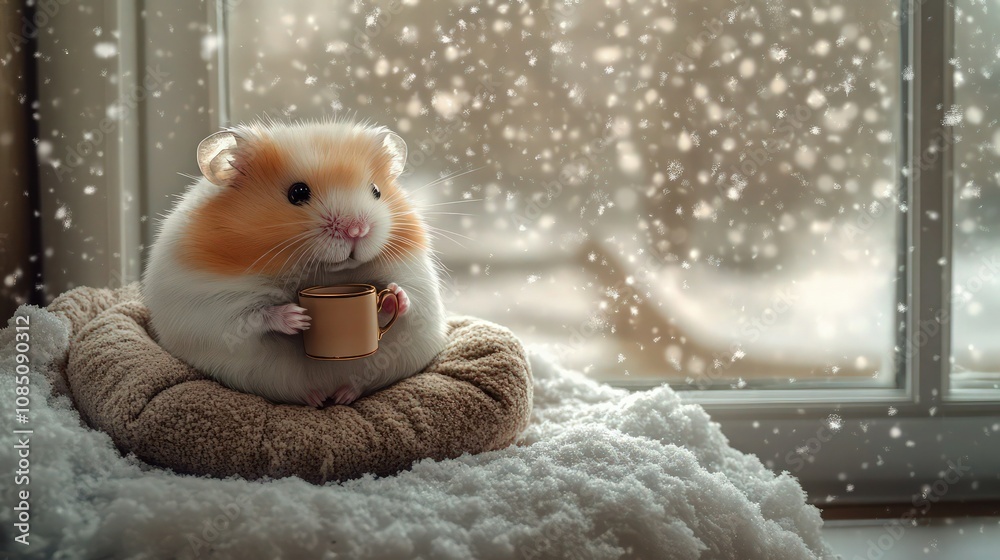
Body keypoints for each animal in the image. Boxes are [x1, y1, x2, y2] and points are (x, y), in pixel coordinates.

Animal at [142, 119, 448, 407]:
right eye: (297, 193)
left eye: (376, 191)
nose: (357, 230)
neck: (321, 271)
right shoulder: (213, 306)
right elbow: (251, 317)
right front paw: (298, 318)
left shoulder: (417, 281)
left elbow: (409, 300)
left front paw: (395, 295)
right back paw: (318, 398)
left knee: (361, 383)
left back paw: (343, 396)